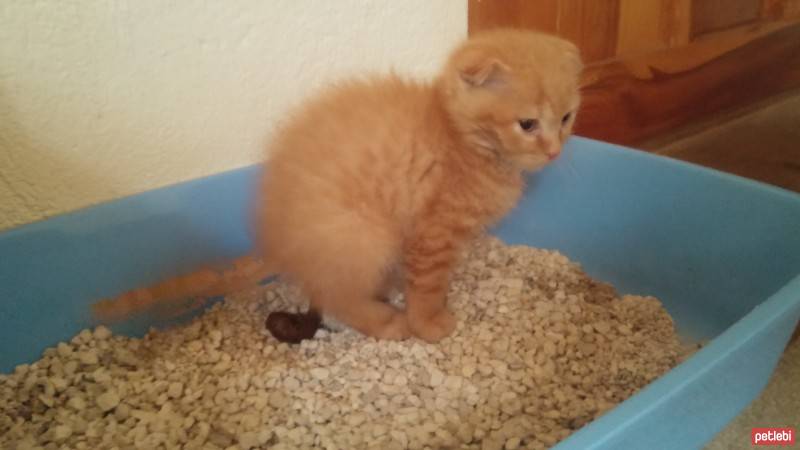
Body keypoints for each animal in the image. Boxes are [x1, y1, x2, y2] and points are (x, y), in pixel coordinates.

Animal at [253, 29, 584, 342]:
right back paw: (388, 322)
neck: (462, 140)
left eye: (566, 118)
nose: (554, 151)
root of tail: (282, 248)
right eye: (527, 124)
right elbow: (427, 286)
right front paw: (428, 323)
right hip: (365, 235)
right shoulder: (434, 233)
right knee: (339, 297)